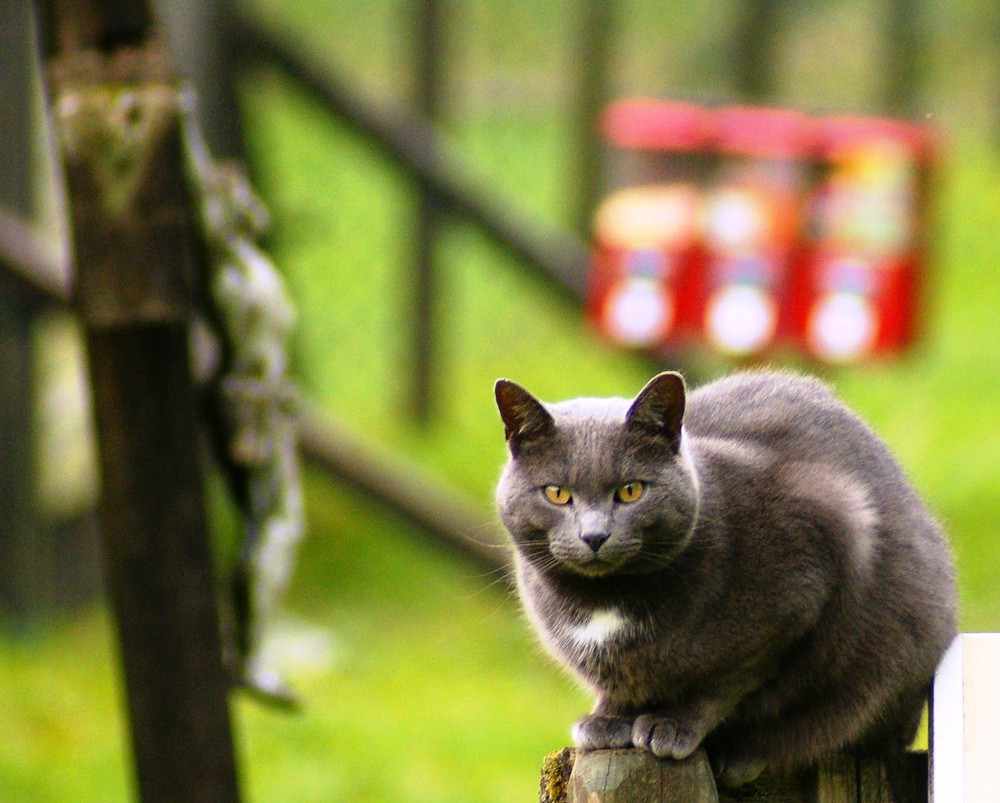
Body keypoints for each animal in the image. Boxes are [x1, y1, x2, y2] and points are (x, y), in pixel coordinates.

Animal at [496, 374, 956, 788]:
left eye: (630, 491)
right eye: (557, 493)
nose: (594, 536)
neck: (605, 599)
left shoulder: (806, 577)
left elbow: (726, 680)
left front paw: (672, 724)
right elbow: (622, 682)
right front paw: (607, 719)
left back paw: (742, 754)